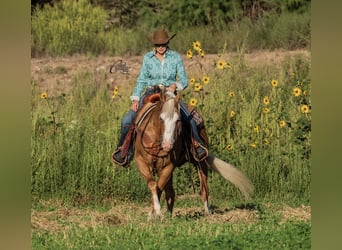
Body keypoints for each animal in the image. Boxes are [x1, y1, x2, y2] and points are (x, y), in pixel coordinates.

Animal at [134, 89, 254, 219]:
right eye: (161, 118)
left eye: (178, 120)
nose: (167, 145)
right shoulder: (141, 162)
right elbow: (153, 184)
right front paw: (152, 215)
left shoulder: (168, 166)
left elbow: (158, 187)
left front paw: (156, 214)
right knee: (170, 191)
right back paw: (169, 214)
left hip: (201, 162)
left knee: (204, 189)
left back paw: (207, 213)